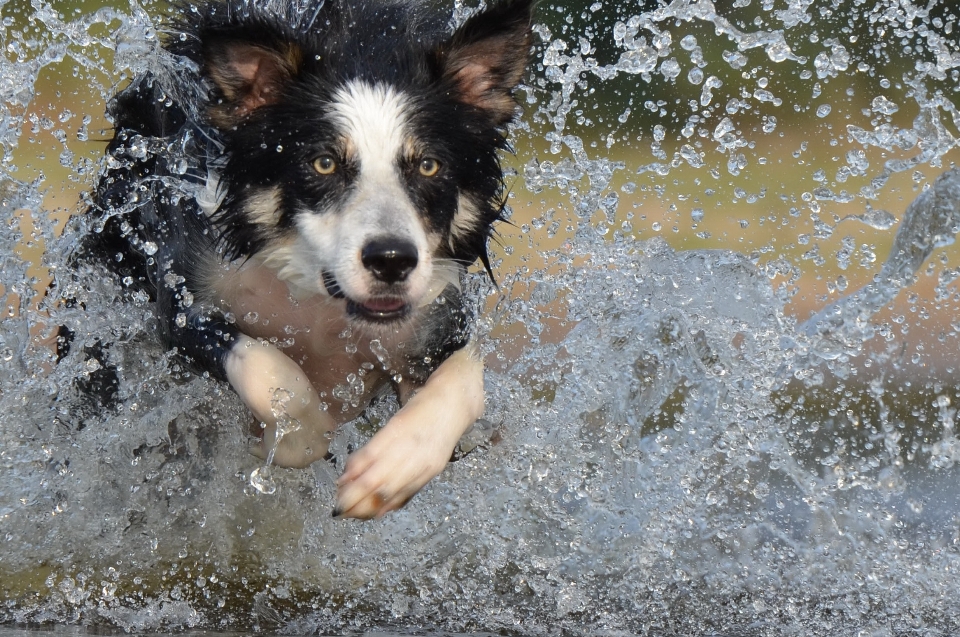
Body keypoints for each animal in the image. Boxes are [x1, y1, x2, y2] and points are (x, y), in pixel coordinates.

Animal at [77, 0, 532, 516]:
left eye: (429, 166)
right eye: (324, 163)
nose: (391, 260)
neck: (318, 298)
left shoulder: (436, 316)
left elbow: (466, 378)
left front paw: (393, 467)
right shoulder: (184, 295)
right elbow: (277, 376)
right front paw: (289, 437)